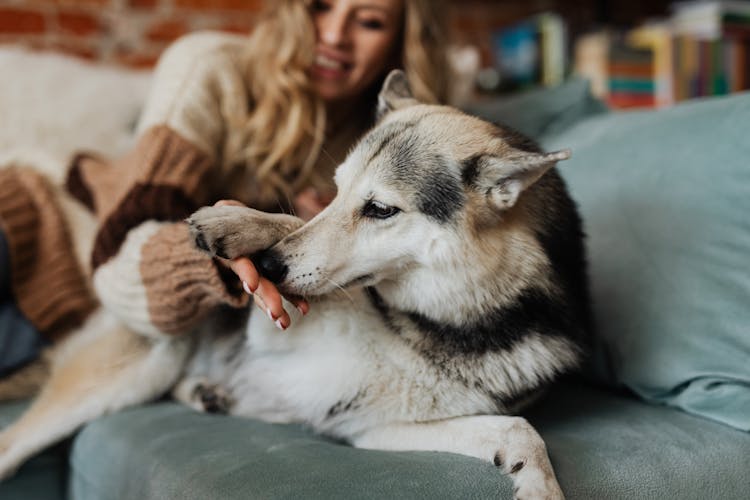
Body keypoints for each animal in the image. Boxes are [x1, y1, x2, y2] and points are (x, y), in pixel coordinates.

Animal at [0, 71, 592, 500]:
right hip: (134, 370)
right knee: (12, 442)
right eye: (335, 192)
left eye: (380, 209)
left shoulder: (371, 426)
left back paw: (210, 394)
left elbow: (520, 429)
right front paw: (237, 225)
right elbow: (293, 223)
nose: (270, 265)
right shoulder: (276, 331)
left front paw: (538, 486)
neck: (435, 322)